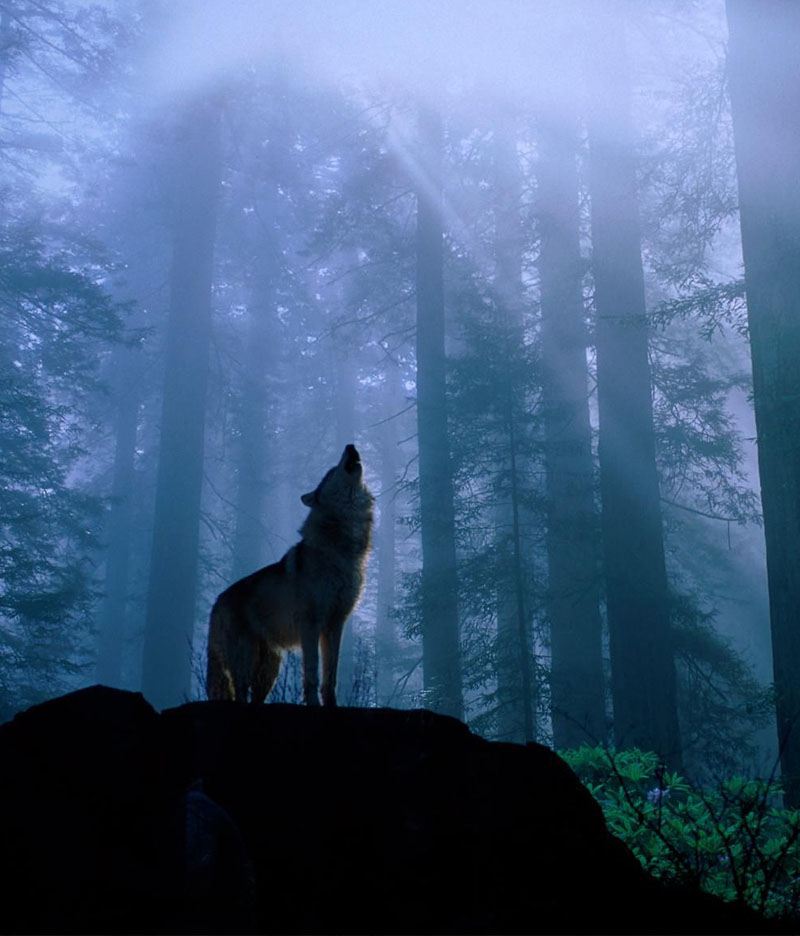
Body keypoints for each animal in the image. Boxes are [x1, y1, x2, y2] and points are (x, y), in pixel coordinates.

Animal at [203, 444, 372, 704]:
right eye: (331, 472)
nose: (350, 445)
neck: (341, 549)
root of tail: (217, 602)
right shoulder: (310, 625)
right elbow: (311, 674)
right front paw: (313, 704)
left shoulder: (335, 625)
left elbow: (330, 677)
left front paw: (332, 705)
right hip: (245, 661)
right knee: (240, 693)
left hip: (269, 669)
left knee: (255, 698)